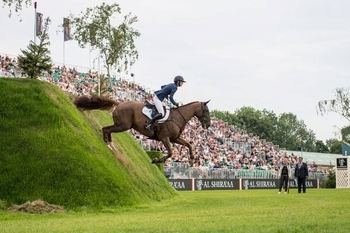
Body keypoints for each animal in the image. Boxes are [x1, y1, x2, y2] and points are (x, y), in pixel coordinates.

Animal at [73, 95, 211, 165]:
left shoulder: (175, 138)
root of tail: (119, 103)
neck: (177, 117)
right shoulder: (164, 138)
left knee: (108, 130)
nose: (209, 125)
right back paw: (108, 144)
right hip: (123, 126)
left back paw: (111, 145)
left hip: (122, 126)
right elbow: (171, 153)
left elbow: (188, 144)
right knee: (106, 129)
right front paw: (156, 160)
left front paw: (192, 157)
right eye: (206, 111)